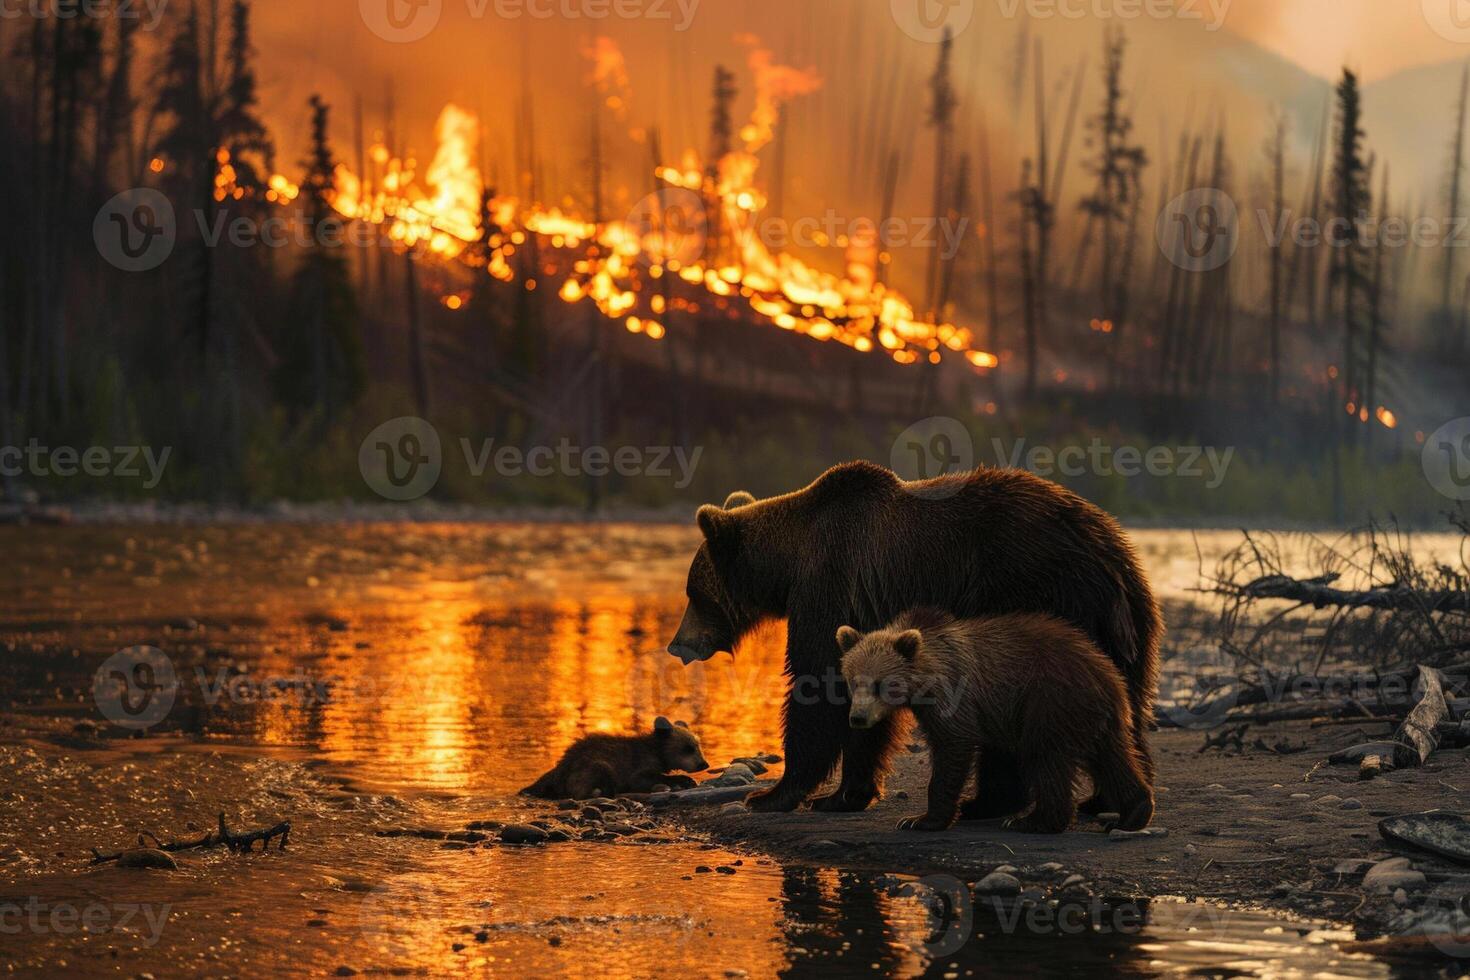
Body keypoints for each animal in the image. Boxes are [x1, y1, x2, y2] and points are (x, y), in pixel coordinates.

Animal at [667, 464, 1158, 816]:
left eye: (693, 592)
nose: (677, 644)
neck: (789, 566)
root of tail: (1106, 557)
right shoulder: (866, 615)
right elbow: (860, 701)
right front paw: (843, 795)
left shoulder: (832, 583)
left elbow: (817, 684)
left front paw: (774, 794)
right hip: (1130, 613)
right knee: (1128, 702)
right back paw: (1102, 798)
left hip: (1041, 592)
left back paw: (991, 802)